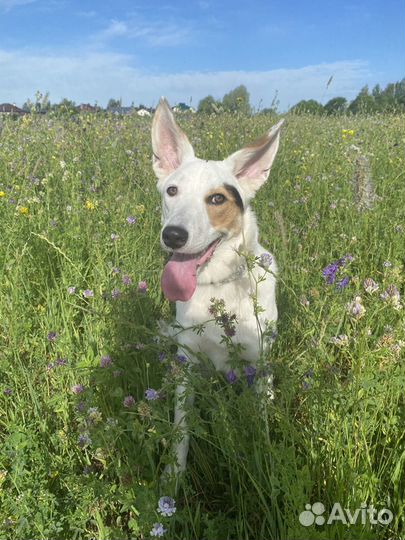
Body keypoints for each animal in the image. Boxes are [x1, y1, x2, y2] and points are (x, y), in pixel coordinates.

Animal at [151, 99, 280, 474]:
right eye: (172, 191)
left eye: (217, 199)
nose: (173, 235)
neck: (218, 285)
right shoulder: (188, 364)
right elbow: (181, 430)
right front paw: (173, 477)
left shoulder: (256, 364)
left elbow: (260, 423)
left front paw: (266, 462)